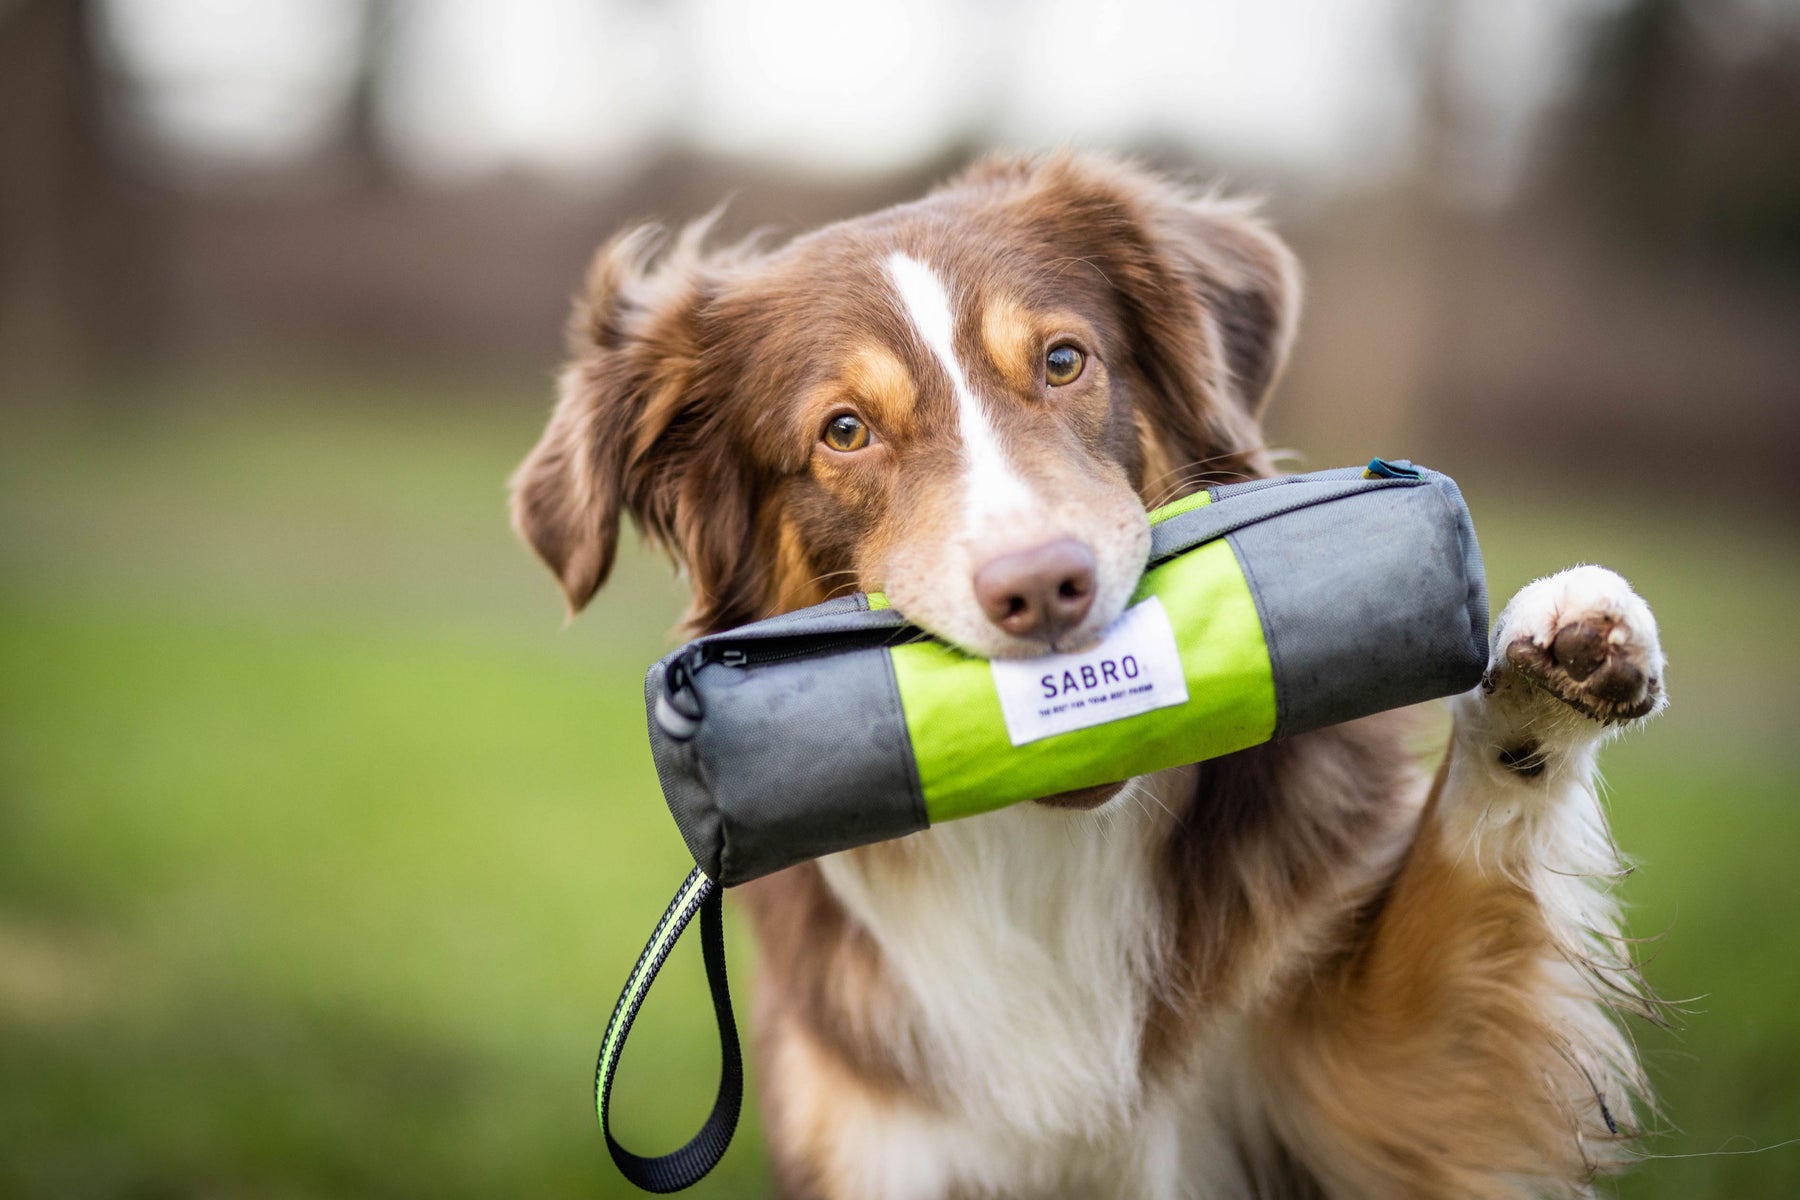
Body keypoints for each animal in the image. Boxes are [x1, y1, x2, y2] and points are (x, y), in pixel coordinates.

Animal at [514, 154, 1663, 1194]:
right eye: (845, 431)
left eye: (1064, 362)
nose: (1043, 588)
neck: (1045, 857)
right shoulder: (873, 1141)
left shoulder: (1363, 1085)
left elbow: (1464, 884)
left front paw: (1550, 662)